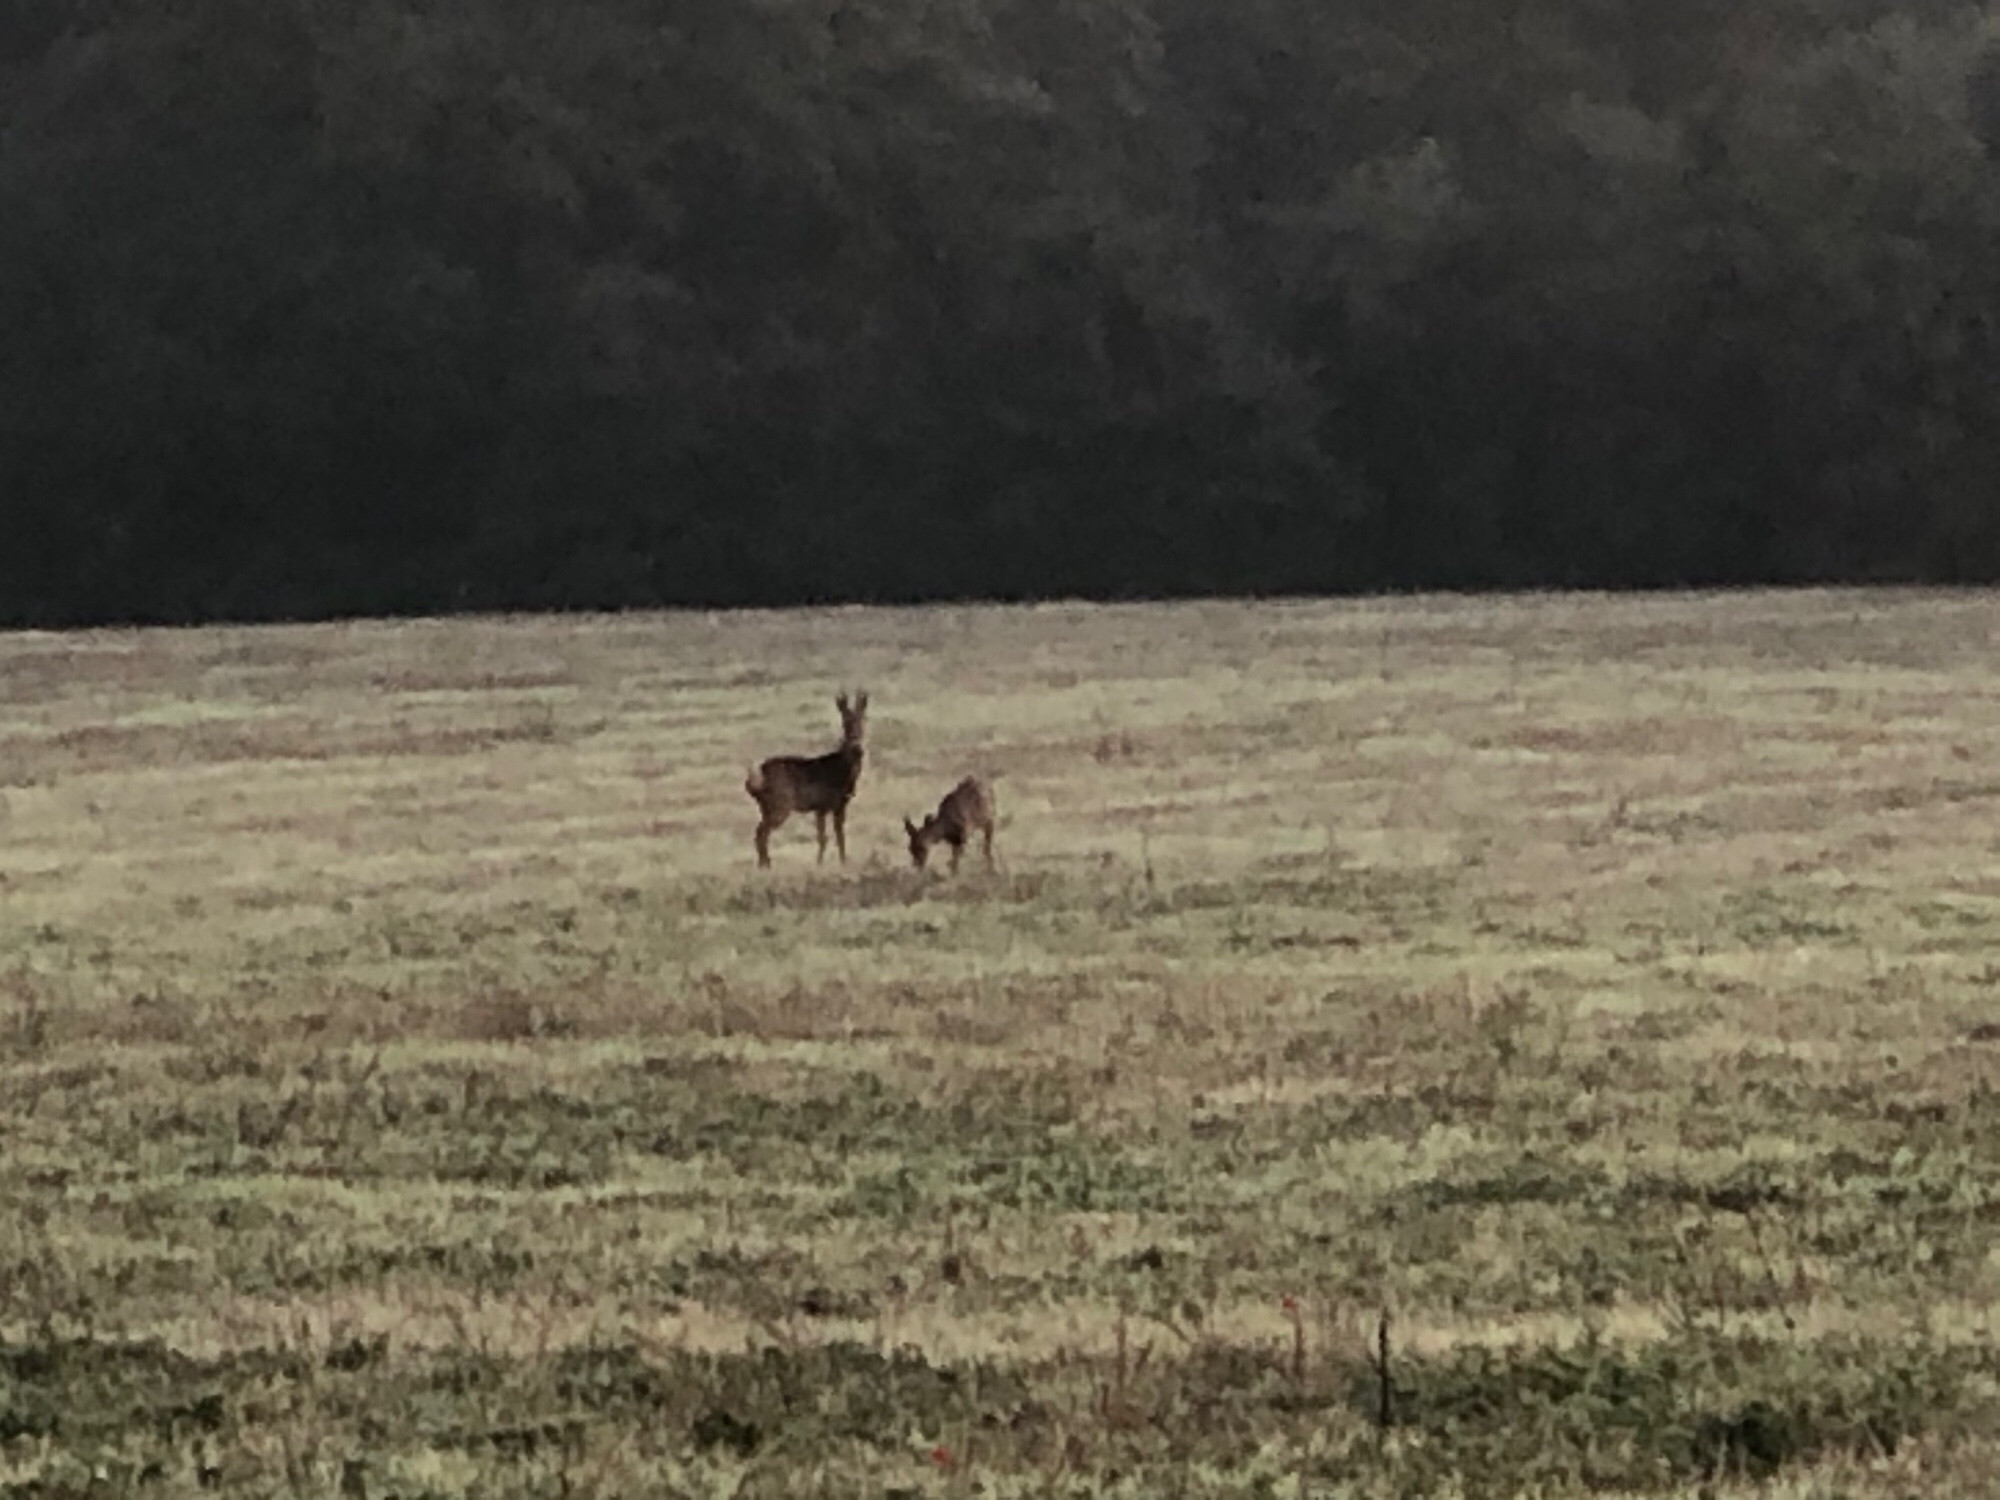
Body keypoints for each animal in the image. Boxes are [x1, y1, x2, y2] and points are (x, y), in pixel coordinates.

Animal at [748, 692, 864, 868]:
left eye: (863, 723)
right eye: (845, 724)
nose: (858, 749)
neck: (844, 773)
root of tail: (754, 781)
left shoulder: (836, 806)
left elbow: (836, 836)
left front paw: (838, 862)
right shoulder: (825, 805)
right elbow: (826, 837)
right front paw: (823, 864)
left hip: (766, 807)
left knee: (759, 833)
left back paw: (764, 865)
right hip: (779, 805)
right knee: (761, 833)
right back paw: (766, 866)